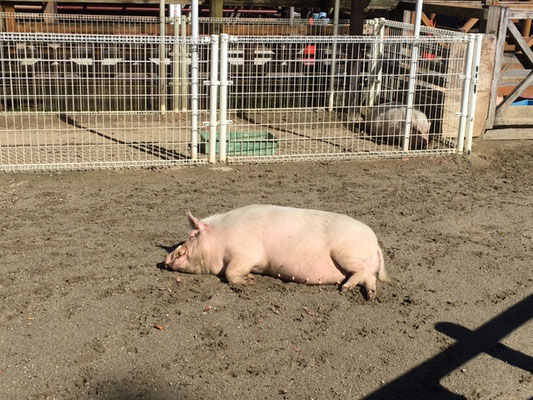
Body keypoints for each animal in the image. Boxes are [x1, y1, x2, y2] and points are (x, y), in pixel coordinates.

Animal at [162, 206, 386, 300]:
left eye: (193, 235)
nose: (165, 260)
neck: (221, 236)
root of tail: (375, 243)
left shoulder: (245, 253)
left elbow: (231, 273)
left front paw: (250, 281)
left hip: (346, 253)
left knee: (362, 272)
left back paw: (345, 289)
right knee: (370, 279)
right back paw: (371, 296)